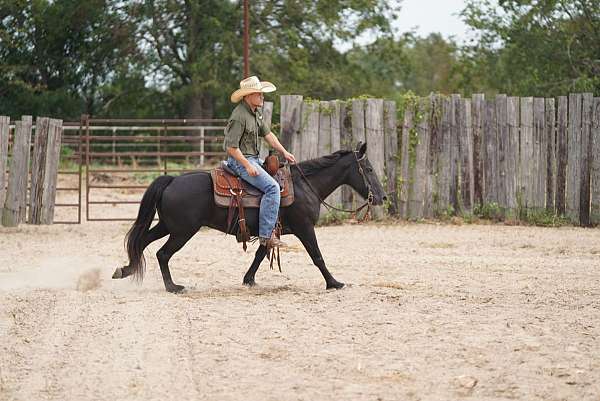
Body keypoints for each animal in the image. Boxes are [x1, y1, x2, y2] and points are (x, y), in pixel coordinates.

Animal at [112, 142, 384, 292]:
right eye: (369, 169)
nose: (382, 197)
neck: (304, 185)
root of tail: (171, 180)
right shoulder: (305, 228)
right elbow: (317, 256)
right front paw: (334, 283)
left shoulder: (270, 229)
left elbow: (260, 254)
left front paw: (248, 279)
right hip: (182, 231)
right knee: (162, 253)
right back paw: (173, 287)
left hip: (168, 226)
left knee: (142, 242)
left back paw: (125, 271)